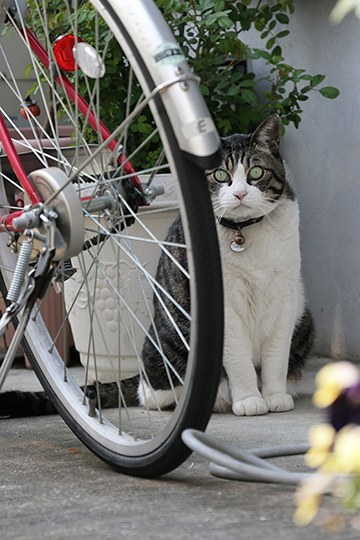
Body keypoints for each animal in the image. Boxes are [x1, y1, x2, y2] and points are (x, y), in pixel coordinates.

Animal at [0, 114, 312, 418]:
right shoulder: (227, 309)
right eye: (221, 175)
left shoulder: (286, 297)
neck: (244, 233)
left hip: (304, 317)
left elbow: (276, 356)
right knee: (151, 394)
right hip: (171, 342)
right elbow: (238, 359)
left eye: (256, 173)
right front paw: (249, 399)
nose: (240, 195)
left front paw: (274, 396)